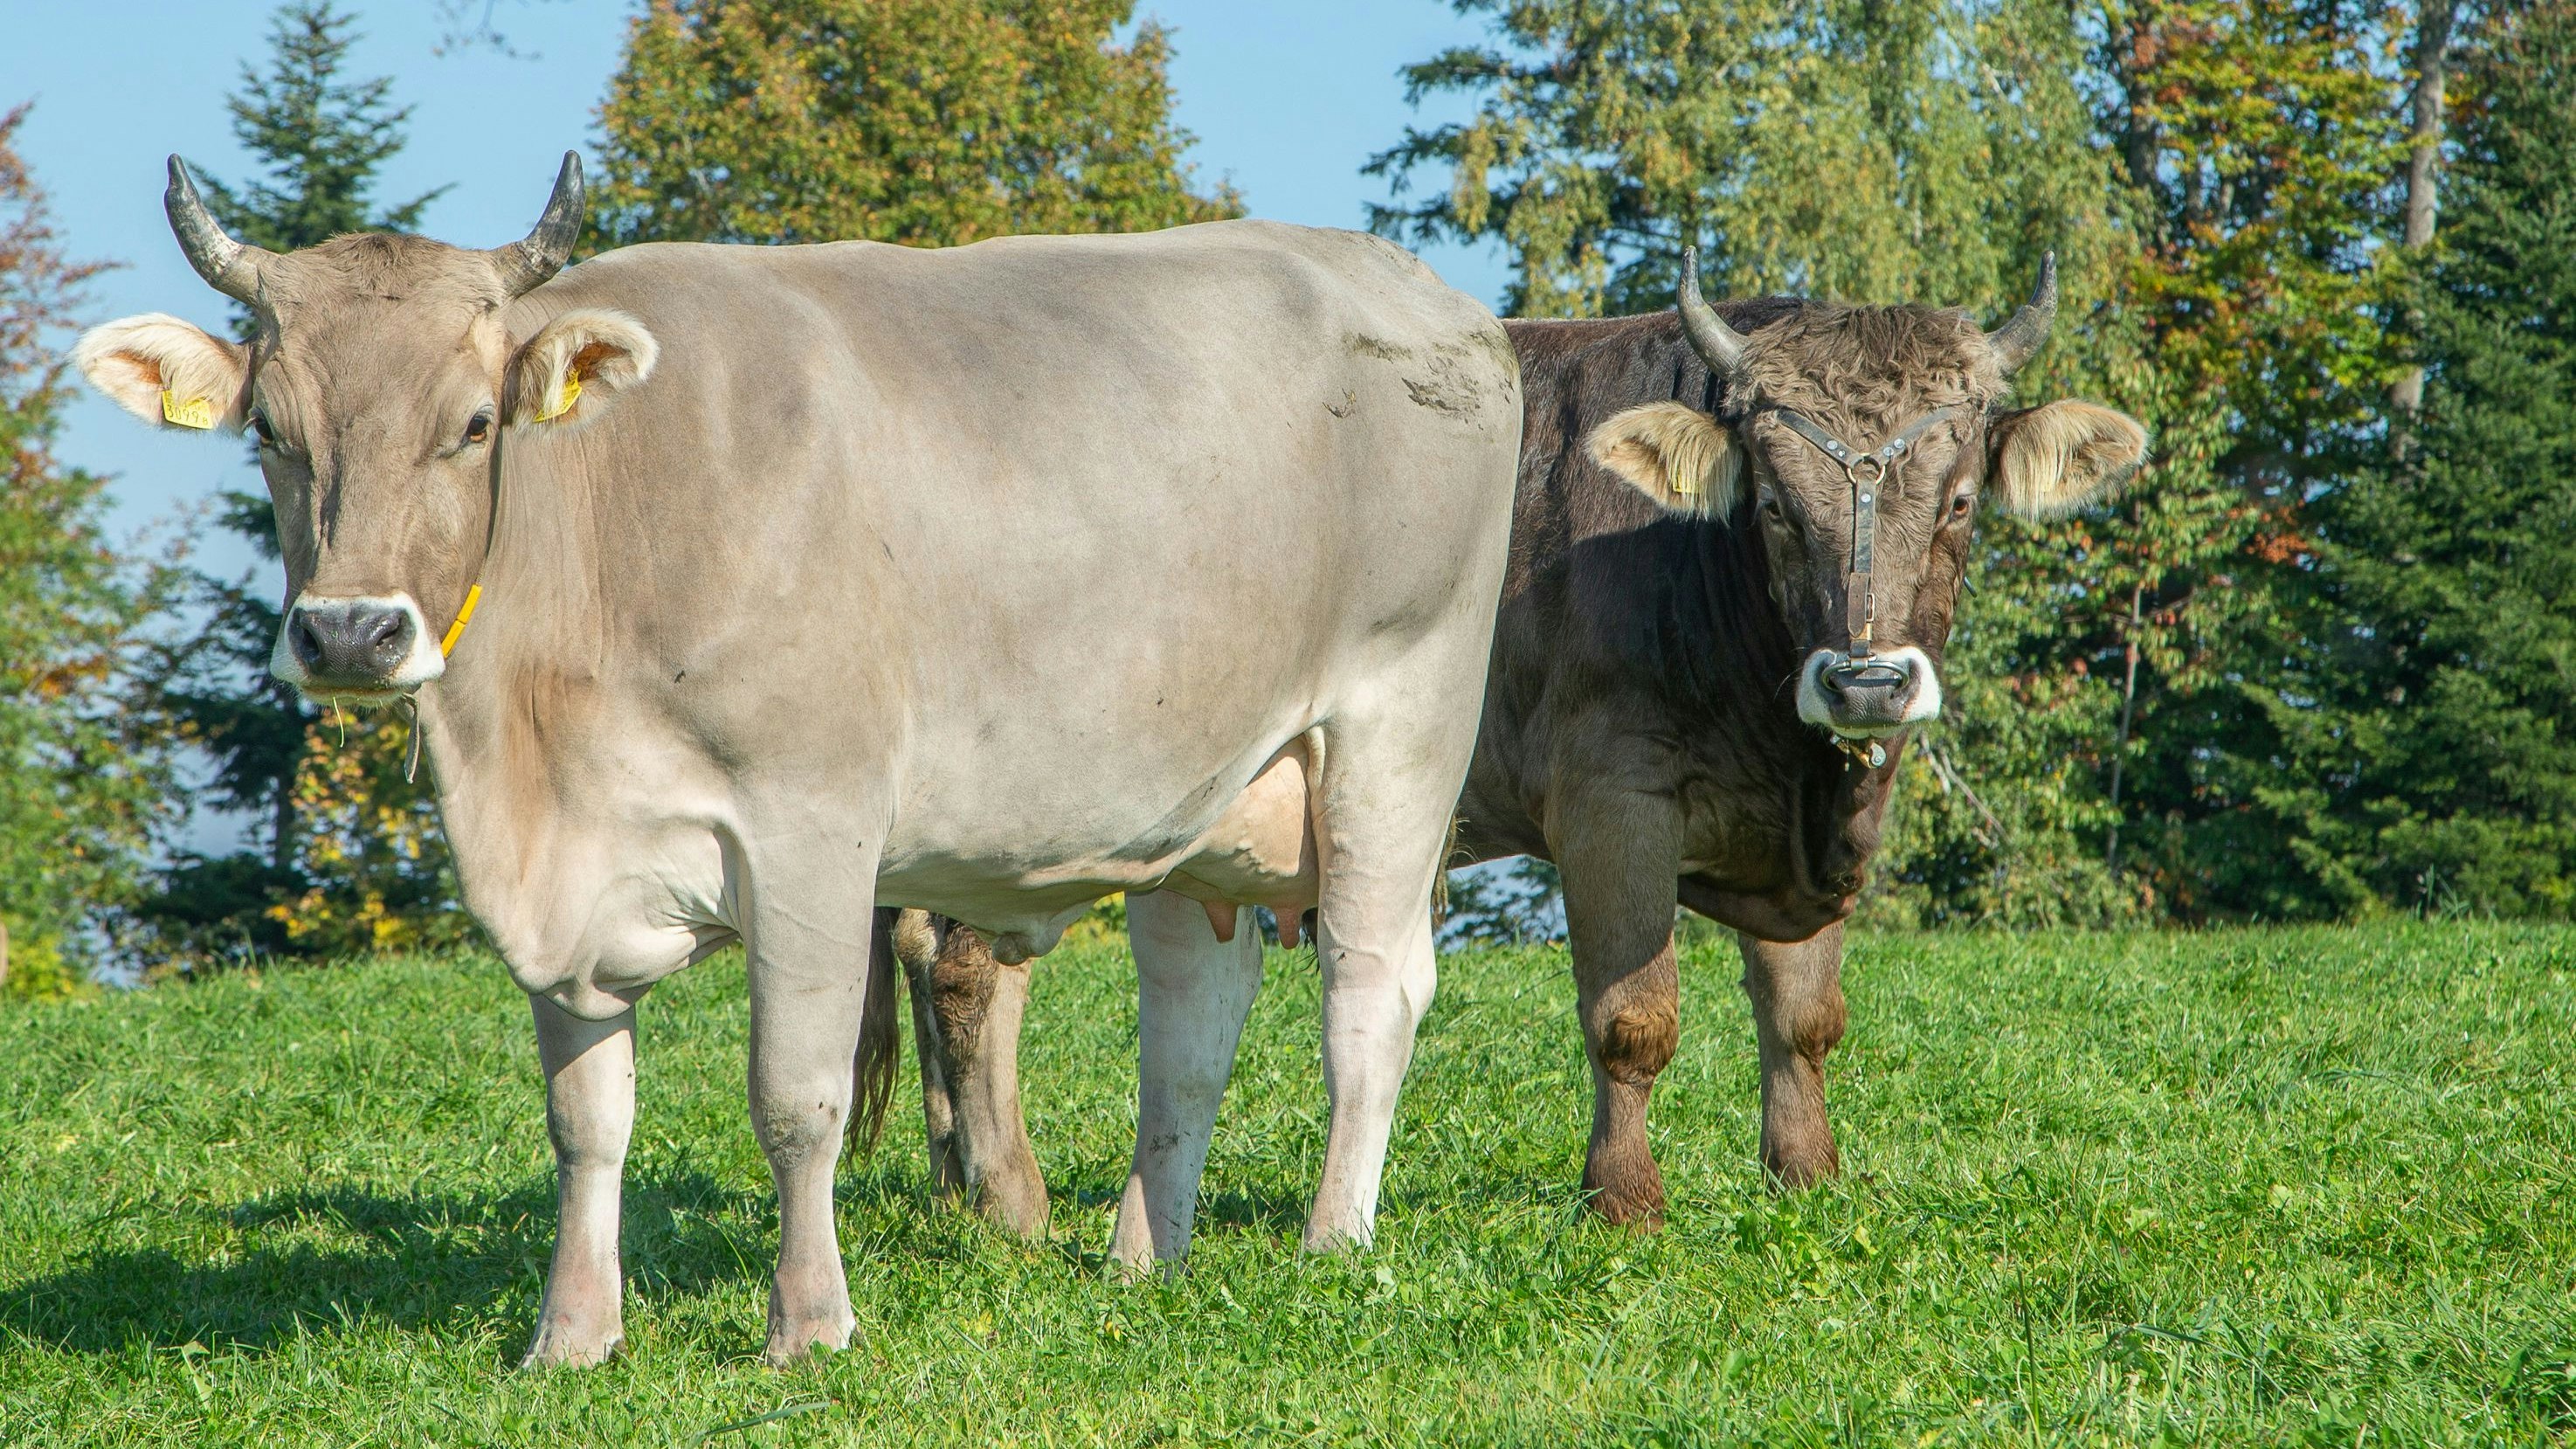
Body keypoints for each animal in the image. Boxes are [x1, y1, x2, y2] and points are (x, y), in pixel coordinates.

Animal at [896, 264, 2143, 1235]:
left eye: (1963, 501)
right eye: (1776, 507)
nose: (1867, 679)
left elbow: (1803, 1013)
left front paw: (1808, 1177)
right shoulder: (1610, 803)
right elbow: (1633, 1018)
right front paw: (1624, 1202)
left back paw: (962, 1186)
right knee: (965, 963)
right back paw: (1012, 1203)